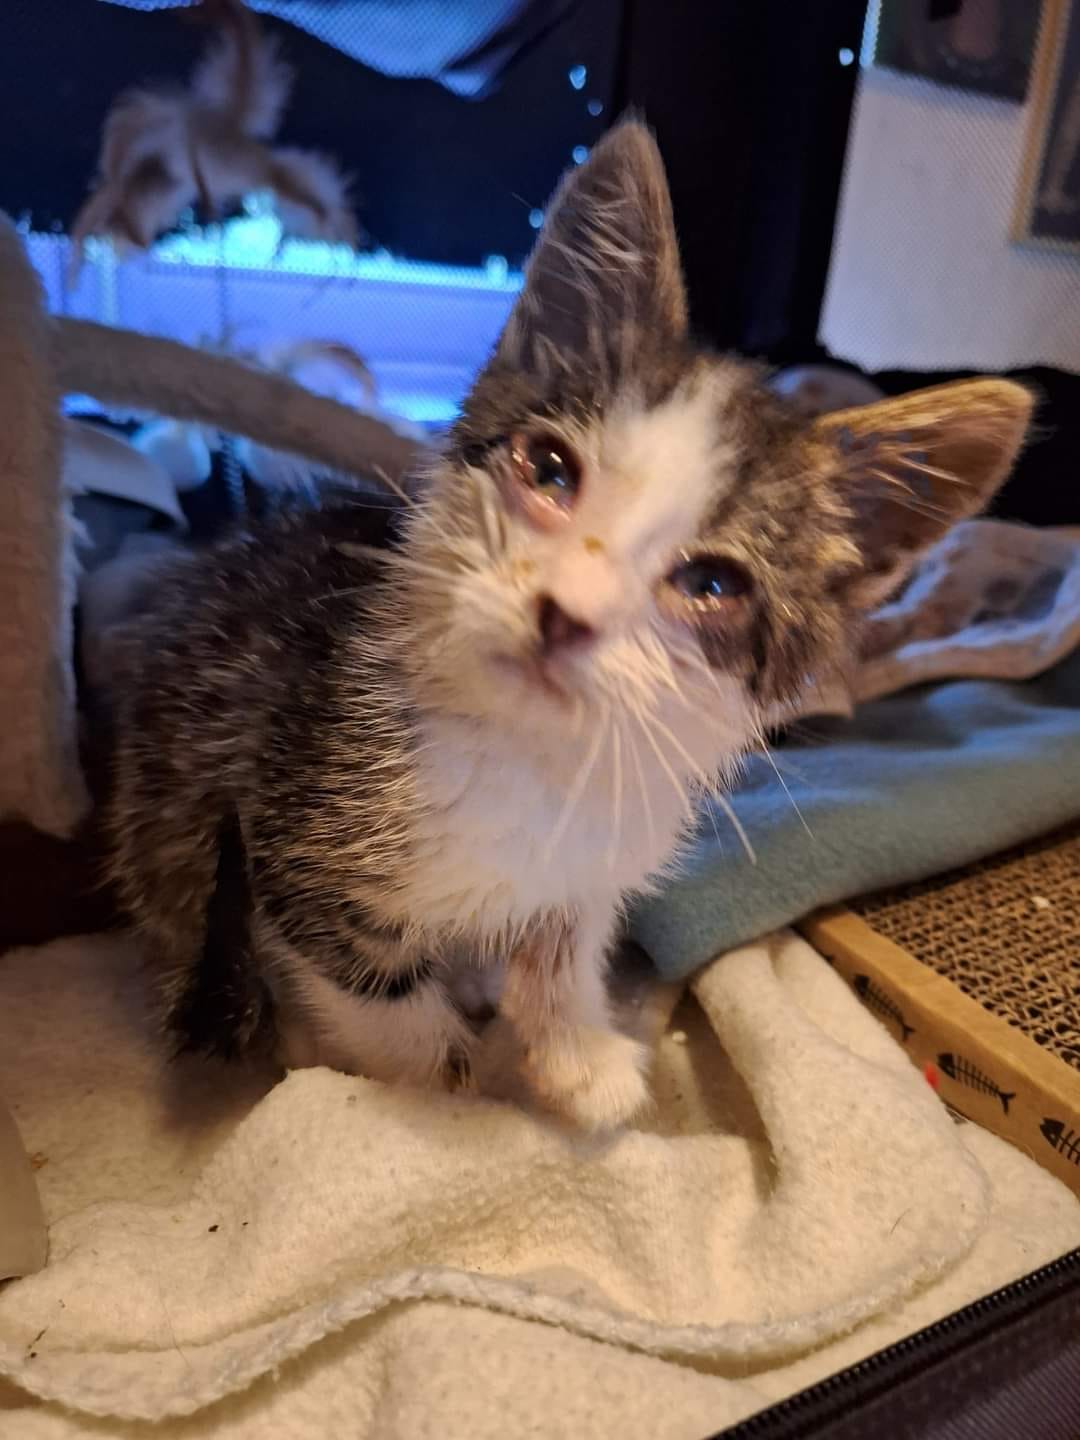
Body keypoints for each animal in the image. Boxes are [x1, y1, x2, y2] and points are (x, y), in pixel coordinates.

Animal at [105, 119, 1033, 1129]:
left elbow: (562, 945)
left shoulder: (595, 862)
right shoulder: (295, 843)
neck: (533, 754)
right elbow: (389, 1014)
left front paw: (575, 1052)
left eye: (713, 582)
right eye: (548, 468)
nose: (566, 613)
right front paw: (447, 1085)